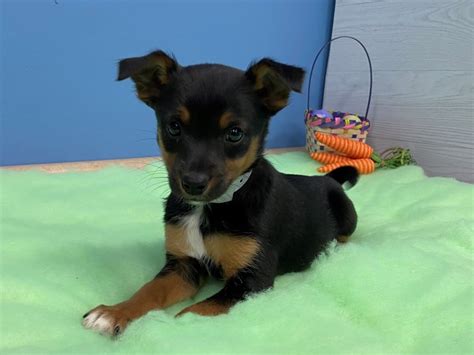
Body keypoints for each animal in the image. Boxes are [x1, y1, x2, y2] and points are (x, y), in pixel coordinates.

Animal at [83, 50, 358, 336]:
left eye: (235, 133)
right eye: (174, 127)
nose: (193, 184)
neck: (211, 207)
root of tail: (329, 179)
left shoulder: (252, 279)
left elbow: (195, 311)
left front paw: (174, 330)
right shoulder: (184, 265)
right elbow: (149, 290)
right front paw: (113, 312)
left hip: (348, 216)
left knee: (346, 235)